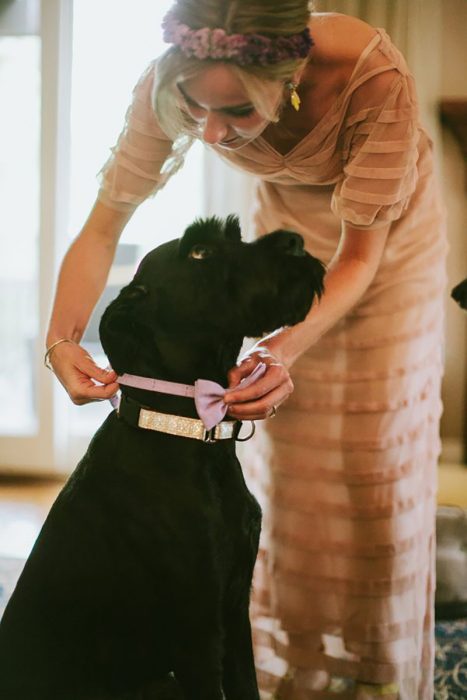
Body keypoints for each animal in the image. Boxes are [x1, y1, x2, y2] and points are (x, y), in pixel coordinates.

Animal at [0, 216, 326, 696]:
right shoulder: (197, 633)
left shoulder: (235, 612)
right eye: (198, 252)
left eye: (234, 235)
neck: (186, 428)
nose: (295, 242)